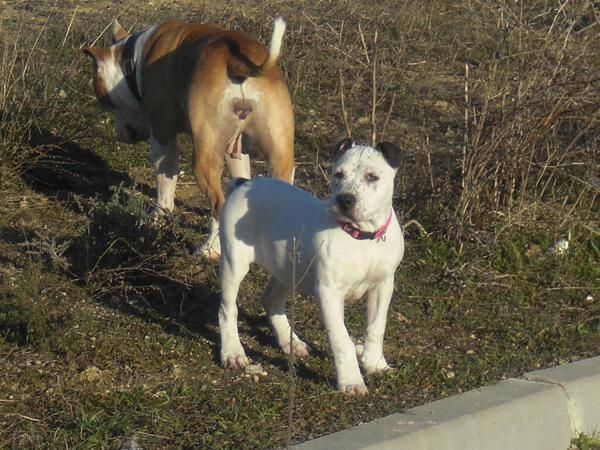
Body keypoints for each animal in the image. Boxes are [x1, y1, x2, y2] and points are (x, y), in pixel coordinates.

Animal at [84, 17, 296, 256]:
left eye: (103, 99)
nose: (119, 135)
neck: (133, 59)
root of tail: (238, 64)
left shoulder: (162, 136)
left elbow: (165, 185)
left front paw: (156, 217)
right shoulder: (234, 150)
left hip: (204, 158)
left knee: (217, 204)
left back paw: (209, 249)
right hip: (278, 152)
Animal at [218, 139, 406, 396]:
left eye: (372, 177)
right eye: (338, 174)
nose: (345, 200)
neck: (361, 237)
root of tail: (244, 183)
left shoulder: (383, 286)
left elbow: (377, 327)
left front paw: (375, 363)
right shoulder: (329, 293)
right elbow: (342, 339)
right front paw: (351, 381)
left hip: (287, 266)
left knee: (271, 299)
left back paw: (291, 343)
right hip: (234, 263)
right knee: (228, 309)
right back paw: (233, 352)